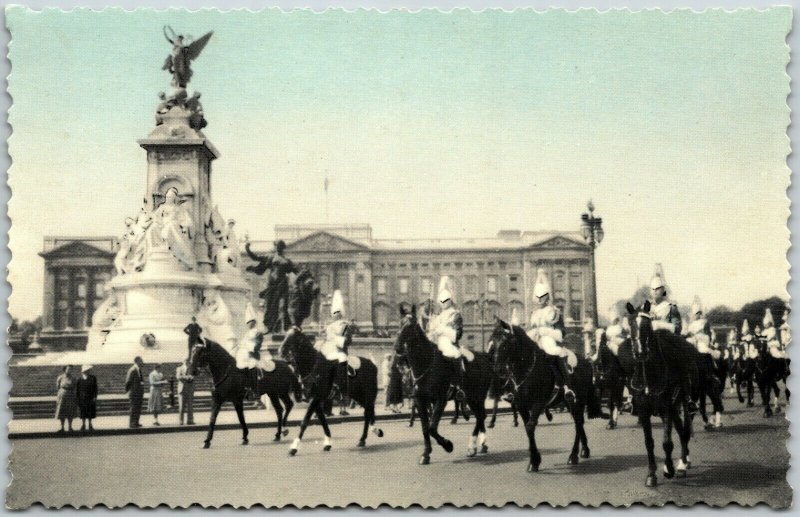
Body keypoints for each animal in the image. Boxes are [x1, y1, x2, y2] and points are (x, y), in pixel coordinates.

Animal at [394, 304, 494, 466]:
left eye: (411, 326)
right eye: (399, 323)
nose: (397, 348)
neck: (426, 364)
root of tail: (484, 356)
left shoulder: (440, 400)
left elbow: (432, 428)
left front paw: (448, 445)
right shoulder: (420, 400)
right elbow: (425, 428)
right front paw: (426, 454)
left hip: (477, 396)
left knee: (481, 416)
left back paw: (473, 446)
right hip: (471, 398)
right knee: (481, 416)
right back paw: (480, 445)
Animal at [488, 314, 600, 472]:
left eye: (505, 343)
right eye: (492, 341)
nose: (497, 370)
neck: (527, 369)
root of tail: (586, 361)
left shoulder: (538, 403)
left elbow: (530, 426)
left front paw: (534, 461)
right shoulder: (522, 405)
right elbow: (527, 427)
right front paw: (534, 459)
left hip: (578, 400)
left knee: (578, 423)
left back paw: (573, 456)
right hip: (569, 402)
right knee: (579, 422)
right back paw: (584, 450)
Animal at [620, 300, 692, 486]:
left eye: (647, 325)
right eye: (631, 324)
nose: (640, 353)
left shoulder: (667, 407)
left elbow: (667, 442)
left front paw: (669, 469)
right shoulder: (644, 410)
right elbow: (649, 442)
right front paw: (651, 474)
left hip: (678, 403)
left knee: (683, 431)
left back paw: (682, 465)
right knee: (680, 429)